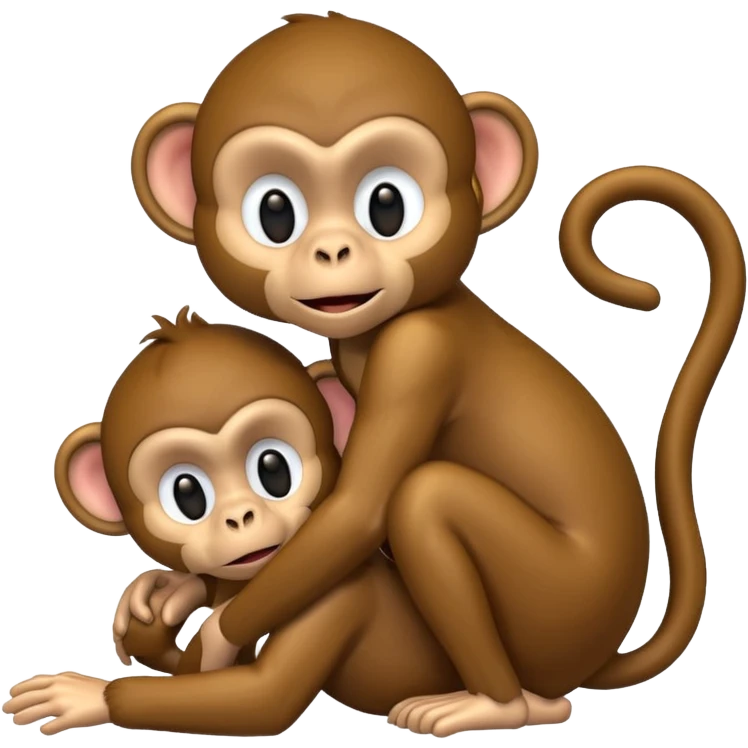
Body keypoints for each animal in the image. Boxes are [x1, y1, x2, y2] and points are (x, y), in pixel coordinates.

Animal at [3, 307, 575, 737]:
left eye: (273, 469)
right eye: (187, 494)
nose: (241, 517)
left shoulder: (336, 599)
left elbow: (261, 698)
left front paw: (90, 693)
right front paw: (160, 601)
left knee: (426, 497)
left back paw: (505, 707)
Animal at [125, 10, 747, 734]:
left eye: (387, 204)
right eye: (275, 211)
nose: (332, 251)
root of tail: (597, 657)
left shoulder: (418, 353)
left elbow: (360, 509)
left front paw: (212, 637)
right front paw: (171, 596)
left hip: (556, 606)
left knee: (425, 498)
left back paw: (500, 705)